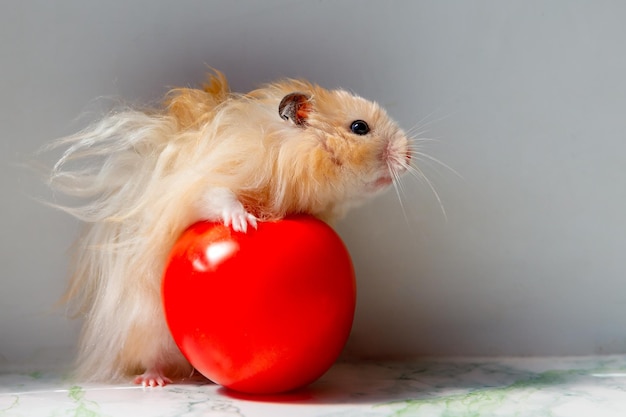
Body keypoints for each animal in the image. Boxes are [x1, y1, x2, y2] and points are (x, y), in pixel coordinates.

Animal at [47, 69, 410, 386]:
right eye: (359, 127)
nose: (408, 156)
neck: (286, 153)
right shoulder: (209, 181)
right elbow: (219, 197)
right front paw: (245, 223)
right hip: (146, 327)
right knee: (152, 359)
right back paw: (153, 381)